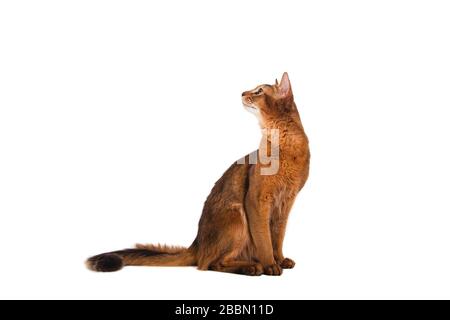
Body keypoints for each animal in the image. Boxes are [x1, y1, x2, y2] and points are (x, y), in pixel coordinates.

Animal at [86, 72, 310, 276]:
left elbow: (277, 237)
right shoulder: (256, 200)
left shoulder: (286, 202)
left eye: (259, 91)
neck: (286, 145)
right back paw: (252, 267)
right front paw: (270, 264)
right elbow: (264, 239)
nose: (243, 93)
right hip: (236, 215)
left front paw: (279, 260)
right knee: (209, 264)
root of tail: (197, 243)